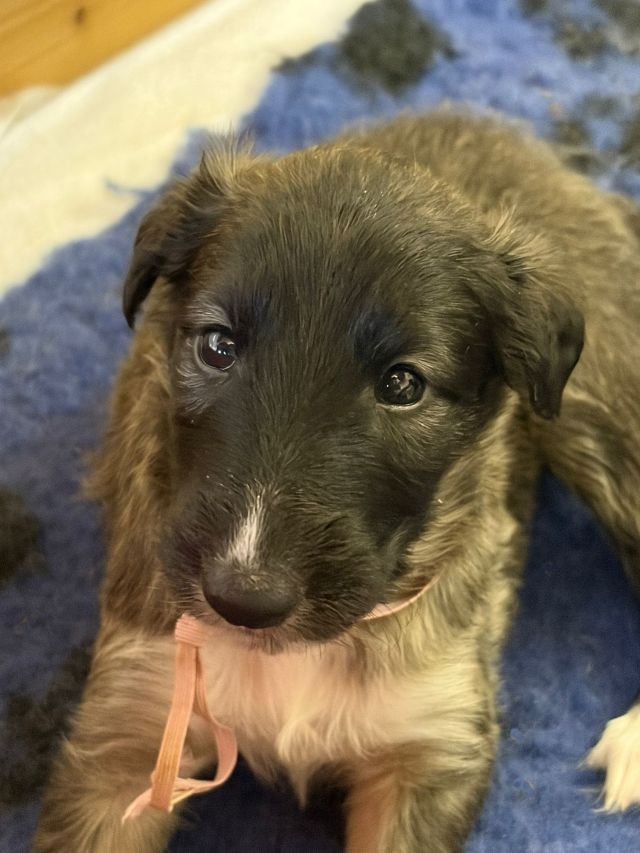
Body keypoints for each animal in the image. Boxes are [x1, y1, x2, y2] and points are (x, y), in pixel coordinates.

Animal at [34, 109, 640, 852]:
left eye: (403, 385)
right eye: (217, 346)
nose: (243, 597)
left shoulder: (425, 751)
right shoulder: (130, 728)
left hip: (598, 401)